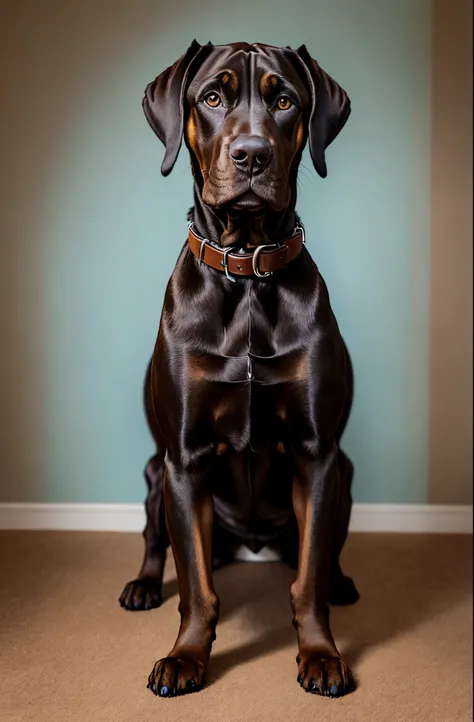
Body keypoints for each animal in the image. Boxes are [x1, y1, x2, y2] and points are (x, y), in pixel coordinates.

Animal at [118, 40, 360, 696]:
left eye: (285, 100)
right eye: (211, 97)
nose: (251, 153)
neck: (248, 270)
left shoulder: (316, 453)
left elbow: (306, 580)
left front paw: (321, 654)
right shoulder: (184, 458)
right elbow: (197, 585)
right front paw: (185, 658)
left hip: (346, 473)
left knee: (322, 555)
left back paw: (341, 581)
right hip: (155, 475)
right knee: (158, 540)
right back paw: (143, 584)